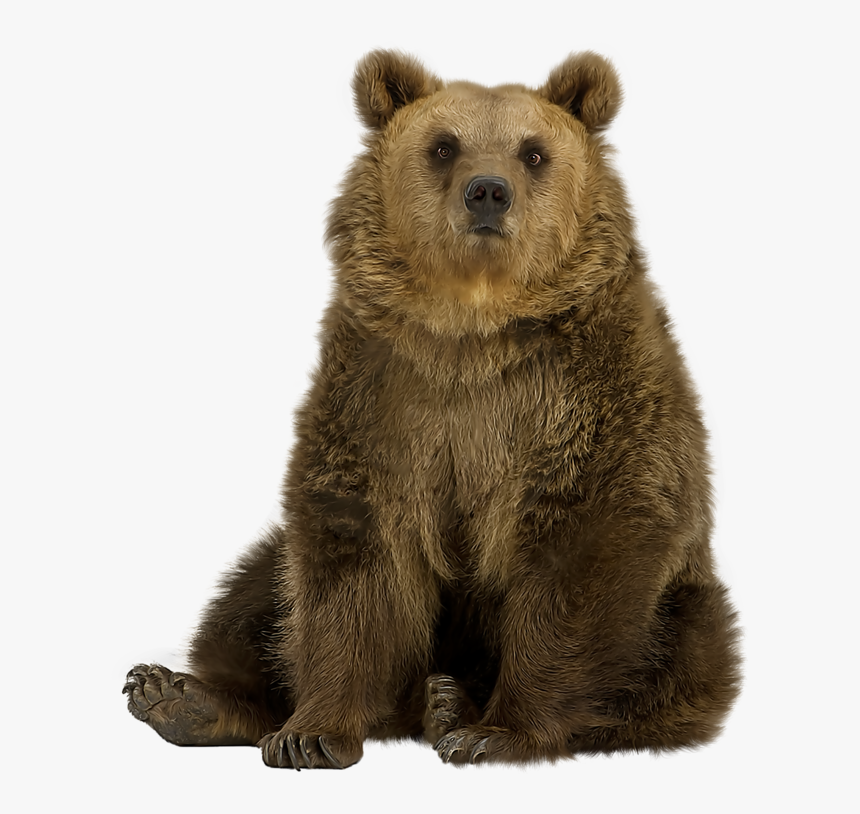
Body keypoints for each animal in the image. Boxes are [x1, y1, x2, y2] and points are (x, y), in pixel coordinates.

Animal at [124, 50, 741, 769]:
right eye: (443, 146)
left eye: (533, 152)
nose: (488, 191)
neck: (470, 330)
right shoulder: (381, 396)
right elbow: (351, 559)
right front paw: (310, 732)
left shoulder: (586, 394)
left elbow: (582, 550)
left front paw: (497, 732)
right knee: (255, 592)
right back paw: (180, 697)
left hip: (684, 603)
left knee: (679, 656)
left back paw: (452, 704)